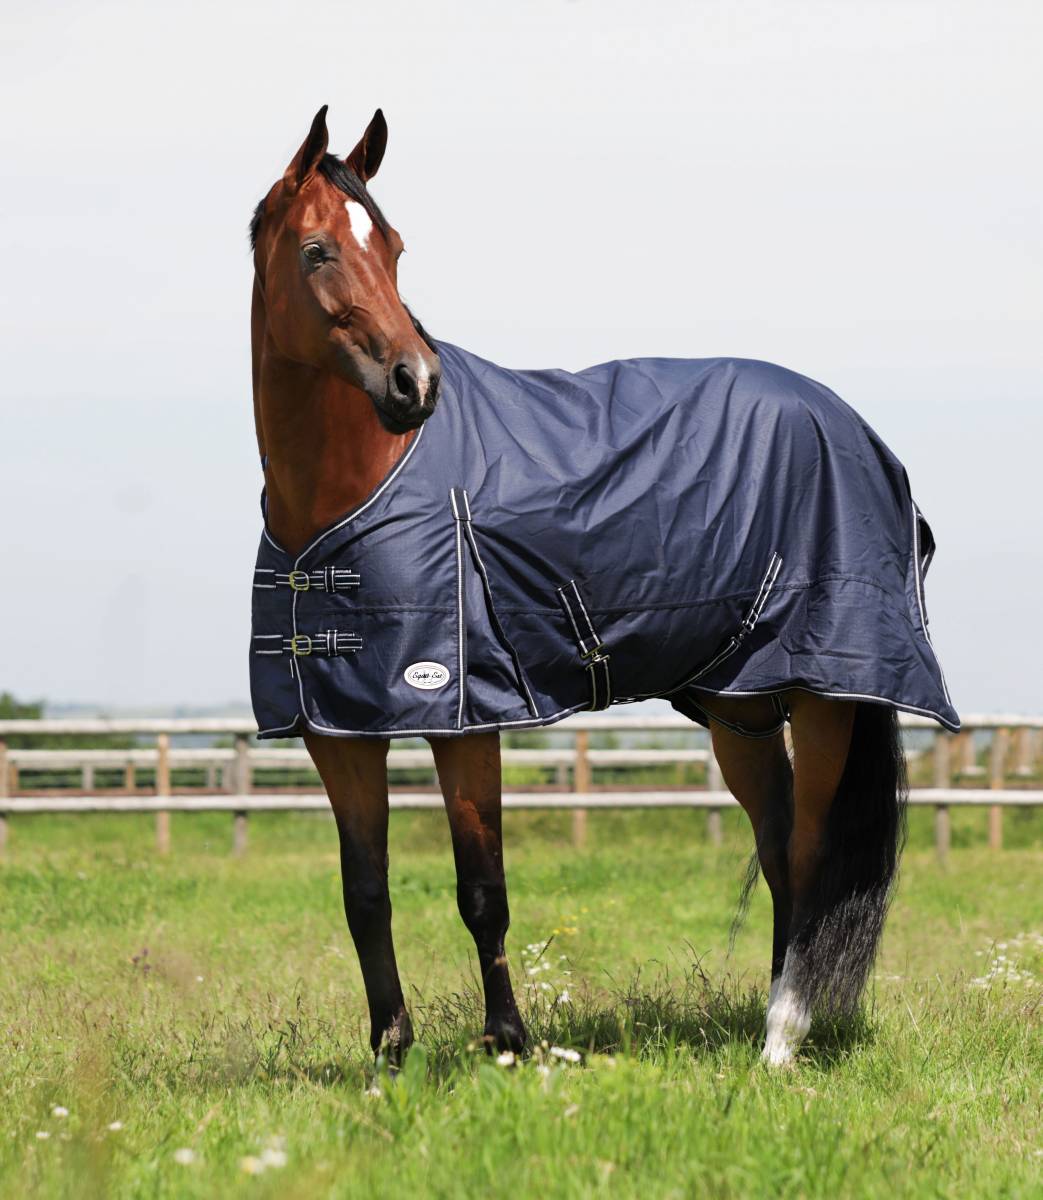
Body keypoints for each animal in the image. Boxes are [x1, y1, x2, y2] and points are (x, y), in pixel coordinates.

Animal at [247, 106, 957, 1067]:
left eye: (393, 247)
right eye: (319, 249)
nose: (414, 384)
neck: (355, 489)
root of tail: (851, 426)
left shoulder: (465, 717)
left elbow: (482, 889)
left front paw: (506, 1045)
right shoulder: (338, 728)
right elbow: (366, 894)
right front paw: (390, 1059)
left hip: (825, 695)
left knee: (811, 855)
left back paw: (781, 1040)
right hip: (739, 703)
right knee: (777, 849)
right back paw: (770, 1020)